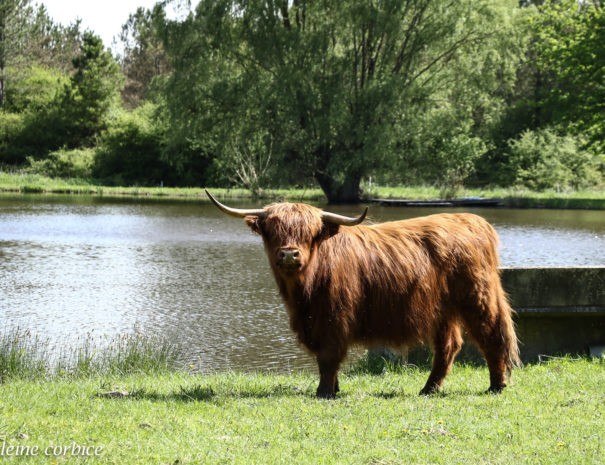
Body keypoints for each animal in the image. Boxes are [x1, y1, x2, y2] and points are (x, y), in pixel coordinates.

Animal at [206, 190, 520, 396]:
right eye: (272, 230)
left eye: (309, 232)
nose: (289, 254)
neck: (303, 293)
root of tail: (473, 220)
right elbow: (324, 359)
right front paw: (334, 389)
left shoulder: (334, 317)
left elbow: (328, 357)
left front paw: (324, 392)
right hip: (442, 309)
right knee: (448, 346)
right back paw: (428, 389)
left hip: (477, 298)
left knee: (492, 335)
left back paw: (496, 385)